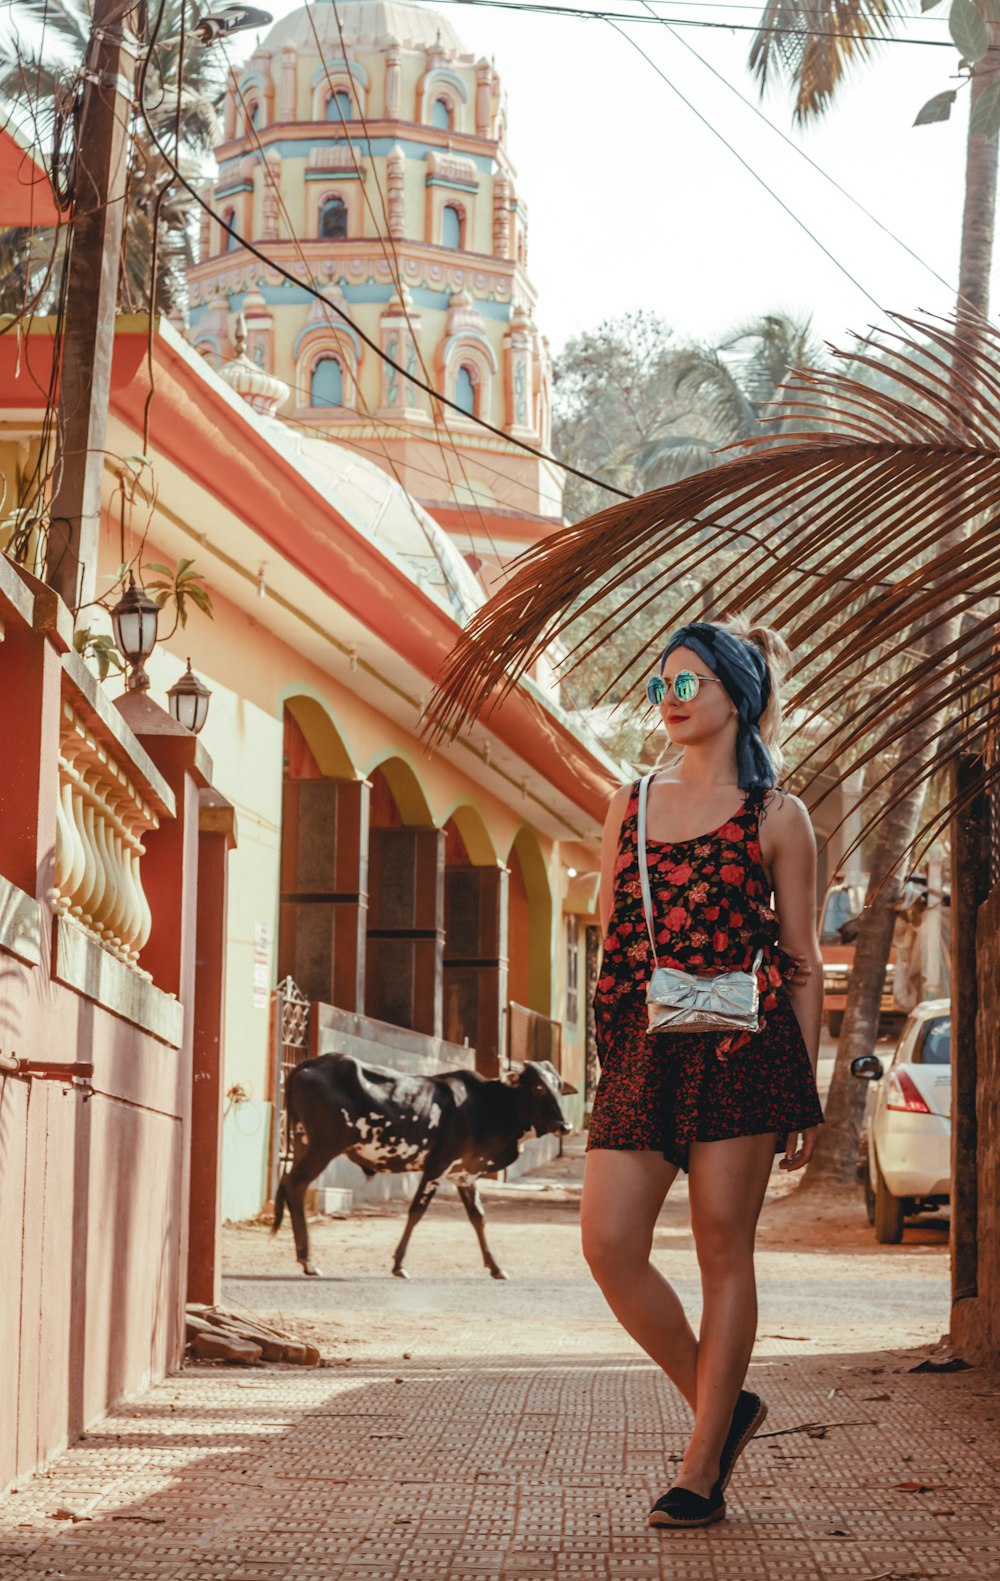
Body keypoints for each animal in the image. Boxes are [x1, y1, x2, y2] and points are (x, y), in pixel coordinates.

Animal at [268, 1056, 571, 1277]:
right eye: (538, 1087)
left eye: (558, 1086)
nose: (565, 1126)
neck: (489, 1104)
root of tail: (309, 1063)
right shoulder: (437, 1167)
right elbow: (416, 1211)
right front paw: (399, 1265)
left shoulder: (464, 1174)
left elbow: (478, 1217)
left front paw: (495, 1267)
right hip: (323, 1147)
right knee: (295, 1184)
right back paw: (308, 1261)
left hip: (303, 1142)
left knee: (290, 1185)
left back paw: (304, 1258)